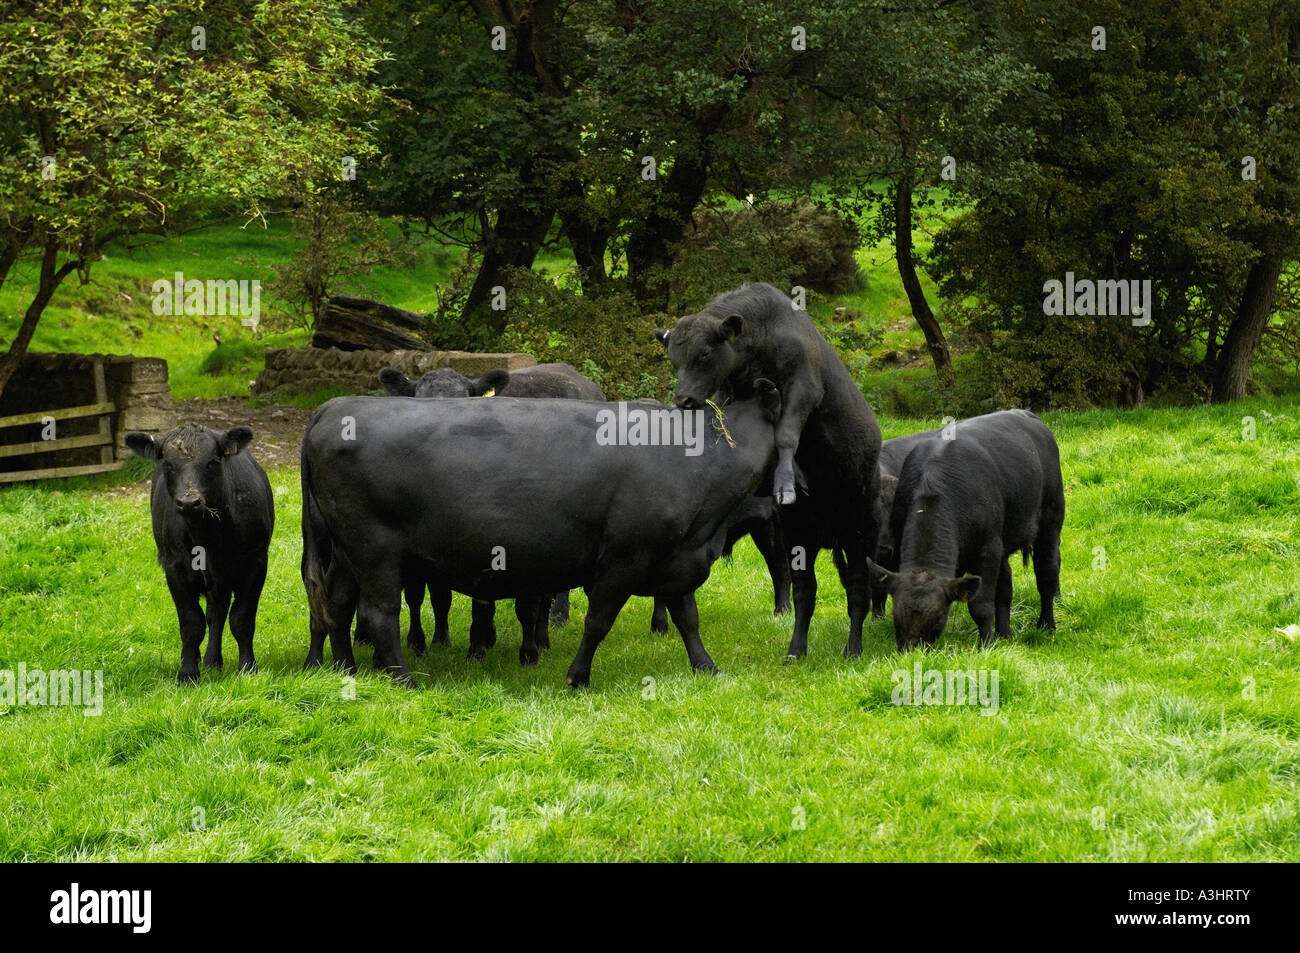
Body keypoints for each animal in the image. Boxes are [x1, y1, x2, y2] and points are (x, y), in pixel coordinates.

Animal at [126, 423, 274, 686]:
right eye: (167, 464)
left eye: (213, 461)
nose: (188, 501)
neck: (207, 536)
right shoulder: (174, 567)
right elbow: (191, 623)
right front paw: (187, 673)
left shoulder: (255, 562)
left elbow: (242, 619)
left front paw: (247, 668)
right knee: (213, 615)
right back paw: (209, 661)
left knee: (218, 613)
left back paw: (213, 661)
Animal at [301, 379, 780, 686]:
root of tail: (333, 407)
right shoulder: (625, 556)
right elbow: (598, 620)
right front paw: (578, 676)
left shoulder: (677, 556)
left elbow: (687, 618)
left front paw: (707, 668)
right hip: (374, 551)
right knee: (377, 615)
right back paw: (404, 681)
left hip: (344, 551)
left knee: (337, 606)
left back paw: (346, 670)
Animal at [660, 278, 883, 657]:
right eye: (674, 360)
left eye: (704, 353)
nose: (684, 400)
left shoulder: (803, 387)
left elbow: (786, 435)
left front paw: (785, 481)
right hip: (798, 536)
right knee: (805, 591)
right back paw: (796, 649)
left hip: (859, 533)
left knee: (858, 593)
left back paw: (853, 647)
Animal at [863, 408, 1066, 647]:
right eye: (896, 616)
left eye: (938, 616)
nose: (912, 649)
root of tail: (1026, 414)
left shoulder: (987, 550)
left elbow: (981, 605)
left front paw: (987, 644)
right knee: (1005, 588)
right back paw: (1005, 633)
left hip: (1050, 521)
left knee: (1047, 572)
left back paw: (1046, 624)